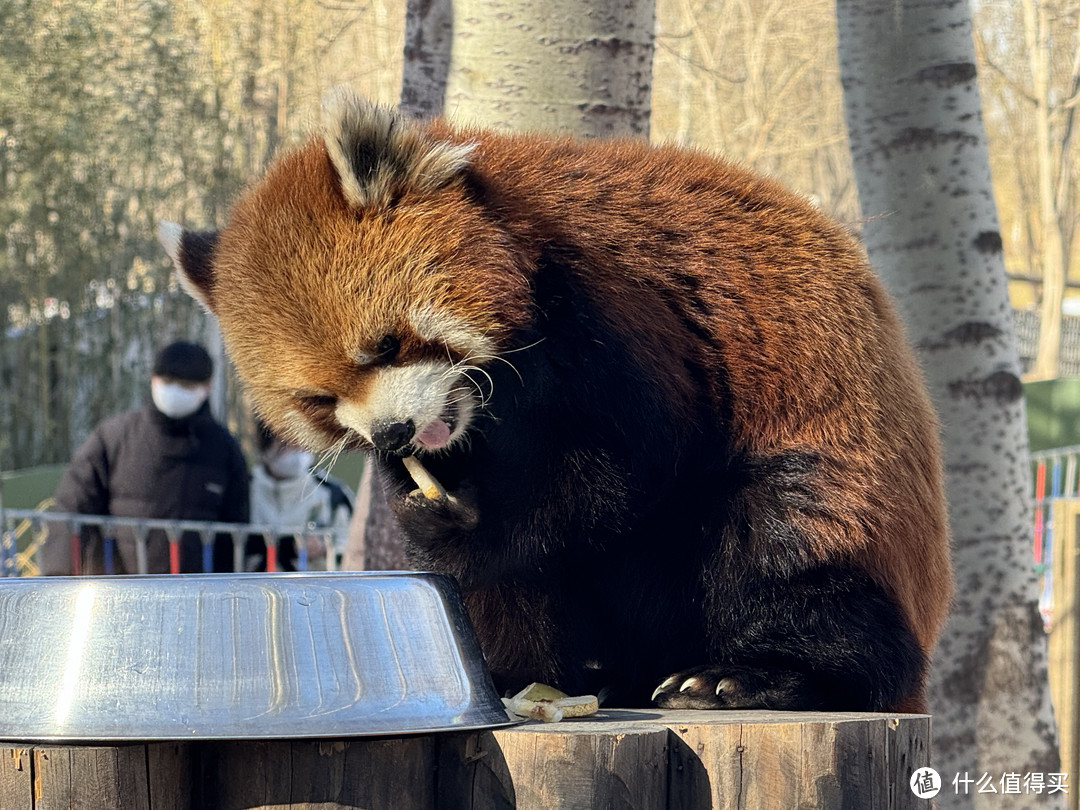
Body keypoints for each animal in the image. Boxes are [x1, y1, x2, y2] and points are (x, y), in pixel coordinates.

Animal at [162, 85, 954, 712]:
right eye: (321, 399)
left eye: (385, 346)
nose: (393, 434)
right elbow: (503, 555)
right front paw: (436, 514)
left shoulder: (613, 312)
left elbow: (619, 474)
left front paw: (466, 518)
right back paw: (555, 671)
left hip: (841, 484)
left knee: (784, 546)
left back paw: (751, 676)